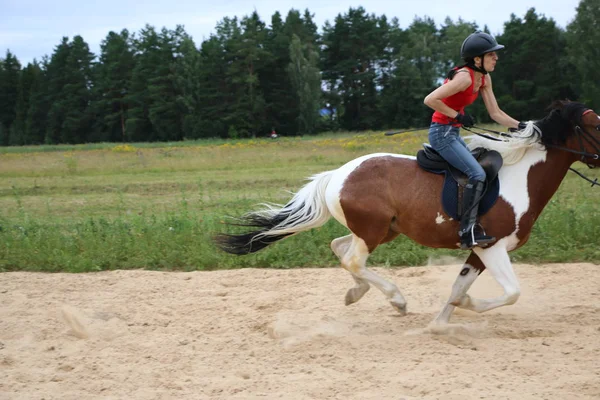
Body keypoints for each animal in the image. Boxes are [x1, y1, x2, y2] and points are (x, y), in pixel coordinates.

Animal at [216, 101, 600, 324]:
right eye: (595, 124)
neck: (521, 177)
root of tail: (336, 175)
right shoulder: (492, 247)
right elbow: (510, 293)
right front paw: (467, 305)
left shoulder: (478, 251)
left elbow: (458, 288)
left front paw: (441, 325)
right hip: (373, 231)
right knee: (352, 259)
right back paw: (396, 300)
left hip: (382, 230)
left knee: (340, 249)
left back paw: (356, 294)